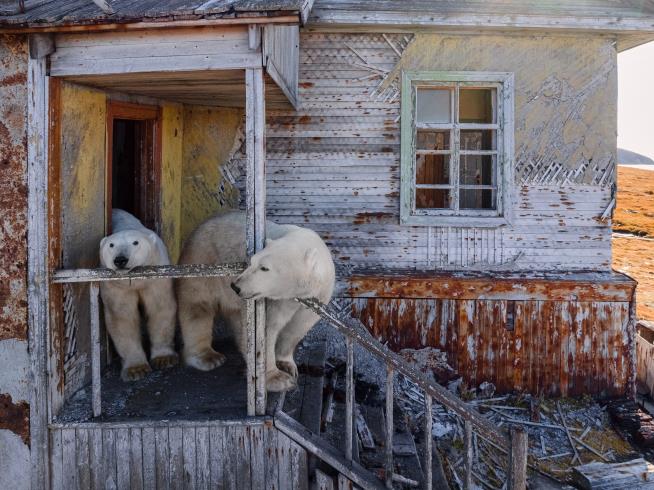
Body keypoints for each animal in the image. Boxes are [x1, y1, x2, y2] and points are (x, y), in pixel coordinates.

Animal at [99, 209, 178, 381]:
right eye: (111, 245)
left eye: (135, 243)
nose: (120, 260)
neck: (135, 281)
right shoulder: (117, 285)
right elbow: (122, 318)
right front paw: (136, 369)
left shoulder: (155, 275)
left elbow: (159, 309)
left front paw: (164, 359)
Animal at [177, 210, 335, 392]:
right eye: (251, 261)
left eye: (264, 268)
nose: (236, 286)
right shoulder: (274, 300)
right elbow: (265, 330)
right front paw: (278, 379)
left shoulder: (317, 295)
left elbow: (298, 326)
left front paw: (287, 365)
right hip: (203, 262)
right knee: (197, 308)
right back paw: (208, 357)